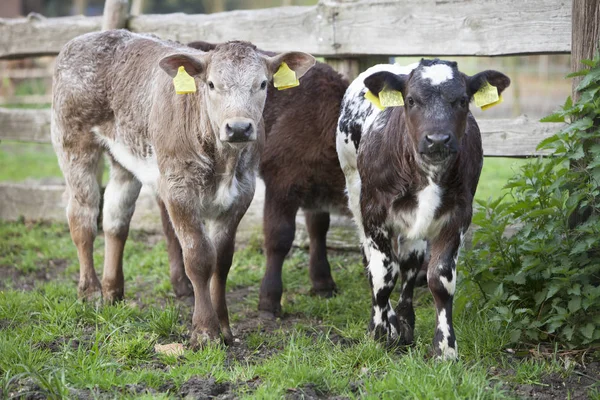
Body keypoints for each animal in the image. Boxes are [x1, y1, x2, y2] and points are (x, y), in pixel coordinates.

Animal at [51, 29, 314, 346]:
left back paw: (113, 292)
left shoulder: (242, 193)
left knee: (116, 219)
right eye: (211, 84)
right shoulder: (178, 191)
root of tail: (87, 37)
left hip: (124, 157)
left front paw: (225, 327)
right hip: (73, 142)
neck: (223, 161)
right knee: (83, 217)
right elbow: (199, 258)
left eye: (262, 83)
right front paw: (205, 331)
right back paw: (90, 293)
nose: (239, 128)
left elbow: (222, 261)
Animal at [336, 58, 508, 360]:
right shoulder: (374, 213)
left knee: (409, 264)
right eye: (411, 100)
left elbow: (439, 279)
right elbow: (383, 275)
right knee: (374, 264)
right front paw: (379, 334)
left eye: (462, 100)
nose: (437, 139)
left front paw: (445, 348)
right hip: (354, 191)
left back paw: (405, 324)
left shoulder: (458, 216)